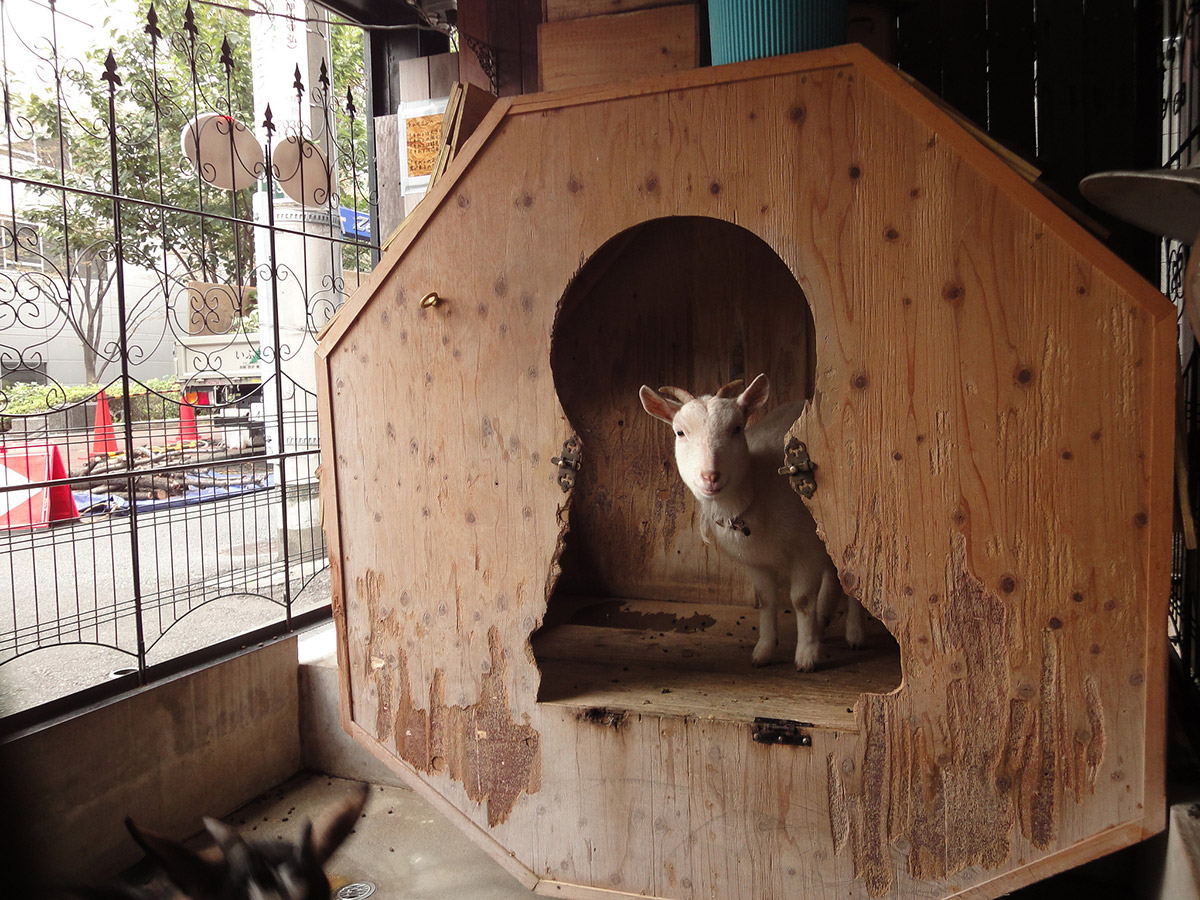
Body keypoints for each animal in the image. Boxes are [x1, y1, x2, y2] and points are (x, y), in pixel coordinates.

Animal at [638, 369, 864, 672]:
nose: (710, 476)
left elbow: (801, 600)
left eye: (736, 428)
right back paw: (824, 618)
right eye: (680, 432)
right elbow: (766, 601)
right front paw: (764, 651)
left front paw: (807, 654)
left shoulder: (807, 549)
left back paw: (854, 632)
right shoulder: (757, 562)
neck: (756, 489)